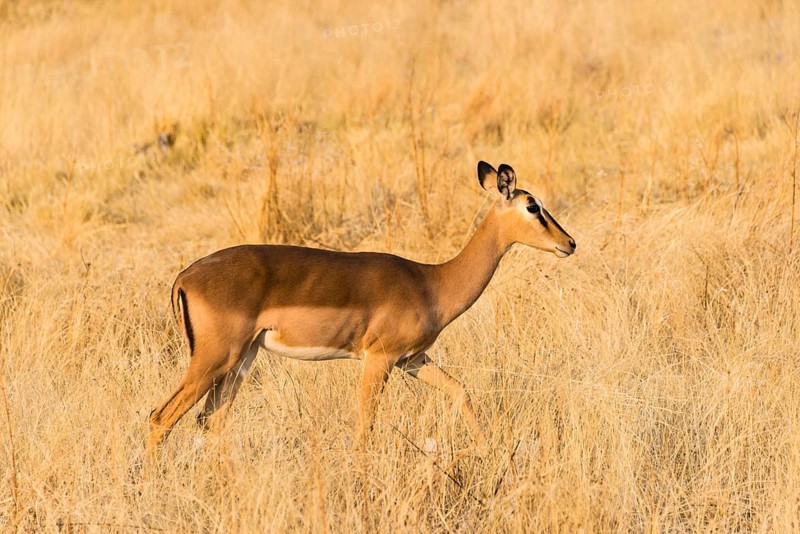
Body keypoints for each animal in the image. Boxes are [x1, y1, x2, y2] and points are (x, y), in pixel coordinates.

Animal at [147, 161, 576, 454]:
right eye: (533, 206)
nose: (569, 243)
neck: (431, 282)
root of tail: (185, 276)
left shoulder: (413, 360)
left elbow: (460, 391)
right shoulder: (378, 359)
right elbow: (364, 428)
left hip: (240, 361)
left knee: (209, 421)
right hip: (215, 360)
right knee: (160, 418)